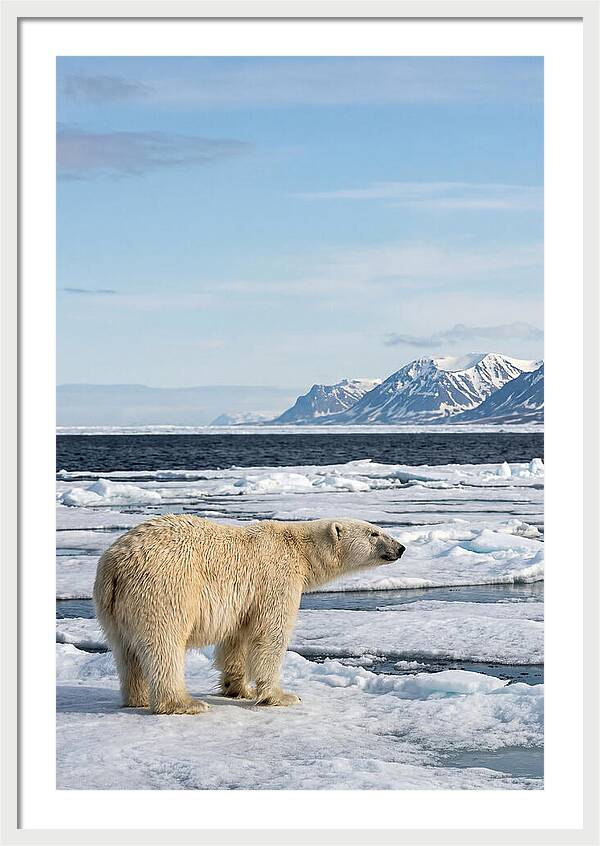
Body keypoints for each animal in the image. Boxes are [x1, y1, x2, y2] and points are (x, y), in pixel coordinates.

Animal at [93, 515, 405, 715]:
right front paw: (282, 696)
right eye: (375, 533)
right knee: (164, 645)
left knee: (125, 651)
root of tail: (115, 565)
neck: (299, 550)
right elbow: (270, 635)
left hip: (112, 607)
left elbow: (236, 639)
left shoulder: (245, 600)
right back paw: (184, 703)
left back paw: (137, 698)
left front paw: (238, 689)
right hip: (164, 589)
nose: (401, 548)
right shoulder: (276, 578)